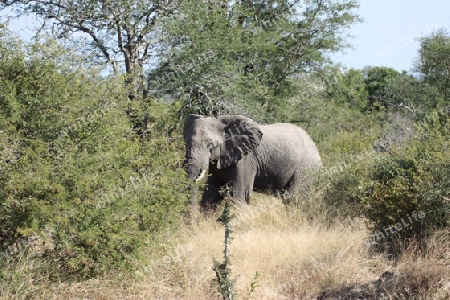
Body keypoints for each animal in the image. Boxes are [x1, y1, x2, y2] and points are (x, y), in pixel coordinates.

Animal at [183, 114, 324, 211]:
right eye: (186, 142)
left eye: (210, 145)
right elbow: (212, 194)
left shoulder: (246, 159)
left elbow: (239, 195)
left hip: (306, 169)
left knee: (294, 198)